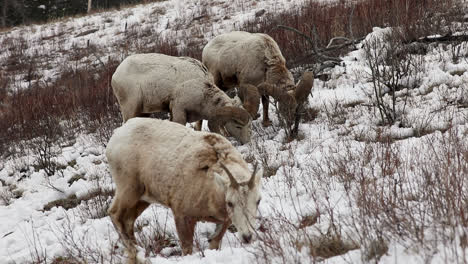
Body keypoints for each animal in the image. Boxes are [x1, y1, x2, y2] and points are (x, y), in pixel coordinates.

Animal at [107, 118, 264, 264]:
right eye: (230, 202)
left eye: (258, 200)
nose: (247, 236)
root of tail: (113, 138)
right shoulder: (181, 212)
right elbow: (187, 249)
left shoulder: (225, 220)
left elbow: (214, 242)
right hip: (128, 186)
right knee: (114, 213)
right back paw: (138, 254)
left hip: (144, 196)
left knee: (128, 220)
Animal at [111, 53, 252, 144]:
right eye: (238, 126)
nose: (246, 142)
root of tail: (116, 75)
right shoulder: (179, 110)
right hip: (130, 109)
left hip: (143, 112)